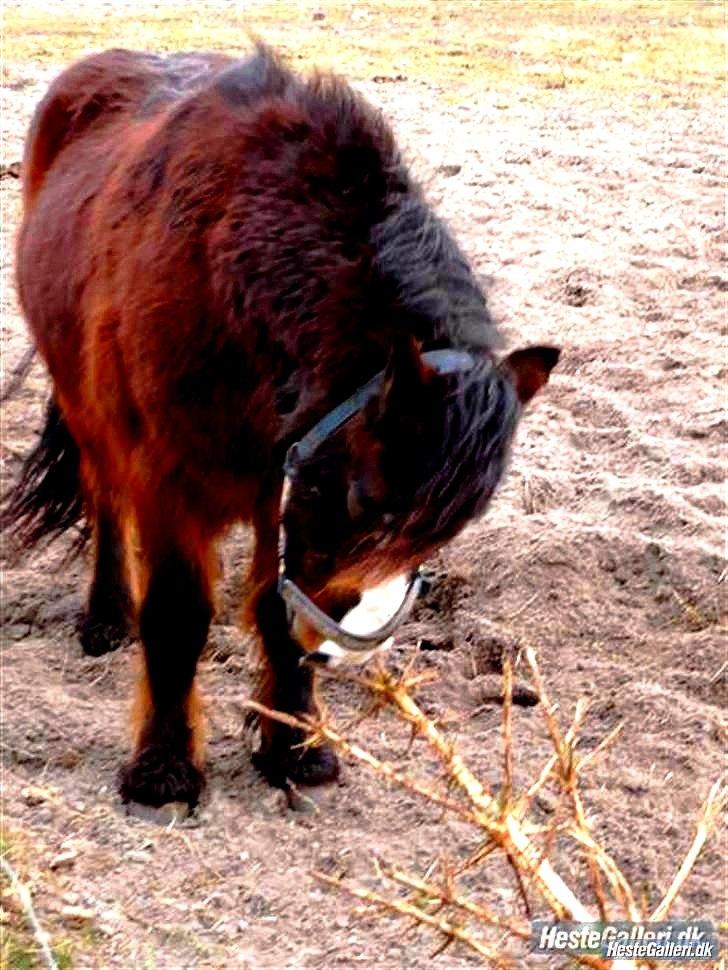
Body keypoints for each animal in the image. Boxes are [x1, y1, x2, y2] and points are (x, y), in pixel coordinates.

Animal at [5, 43, 560, 800]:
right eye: (365, 497)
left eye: (444, 534)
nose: (330, 649)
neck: (224, 271)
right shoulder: (170, 482)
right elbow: (177, 615)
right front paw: (162, 770)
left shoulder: (285, 492)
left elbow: (275, 606)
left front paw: (293, 747)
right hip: (87, 407)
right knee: (104, 496)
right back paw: (105, 617)